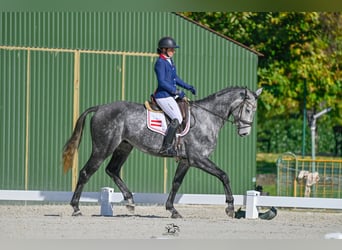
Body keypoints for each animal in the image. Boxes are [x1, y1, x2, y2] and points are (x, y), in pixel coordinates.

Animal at [62, 85, 264, 217]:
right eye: (248, 109)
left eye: (254, 110)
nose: (245, 133)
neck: (207, 117)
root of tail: (100, 108)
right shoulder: (198, 158)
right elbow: (224, 175)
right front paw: (230, 207)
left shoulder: (186, 161)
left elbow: (176, 183)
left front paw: (172, 210)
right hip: (103, 148)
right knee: (86, 172)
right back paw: (76, 208)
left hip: (124, 147)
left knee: (112, 170)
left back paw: (130, 201)